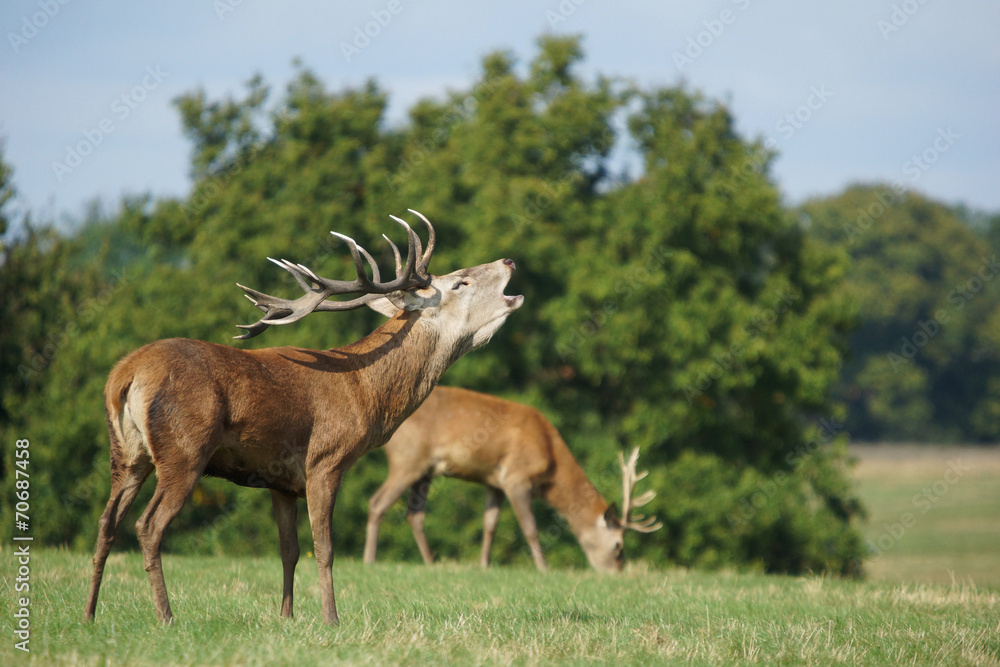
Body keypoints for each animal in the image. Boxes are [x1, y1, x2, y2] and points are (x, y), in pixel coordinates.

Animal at [83, 211, 523, 626]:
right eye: (459, 283)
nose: (509, 259)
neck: (366, 393)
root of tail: (125, 375)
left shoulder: (280, 481)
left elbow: (289, 550)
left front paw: (287, 616)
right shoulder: (325, 460)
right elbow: (323, 547)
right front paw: (331, 618)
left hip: (127, 453)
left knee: (106, 522)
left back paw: (89, 614)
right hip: (184, 449)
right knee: (148, 525)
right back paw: (166, 616)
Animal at [363, 386, 662, 573]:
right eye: (618, 546)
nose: (617, 572)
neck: (550, 458)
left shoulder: (493, 482)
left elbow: (490, 525)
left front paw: (484, 565)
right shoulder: (516, 478)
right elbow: (530, 528)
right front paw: (544, 568)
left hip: (424, 470)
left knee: (414, 514)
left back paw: (430, 562)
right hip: (408, 458)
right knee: (377, 502)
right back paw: (369, 560)